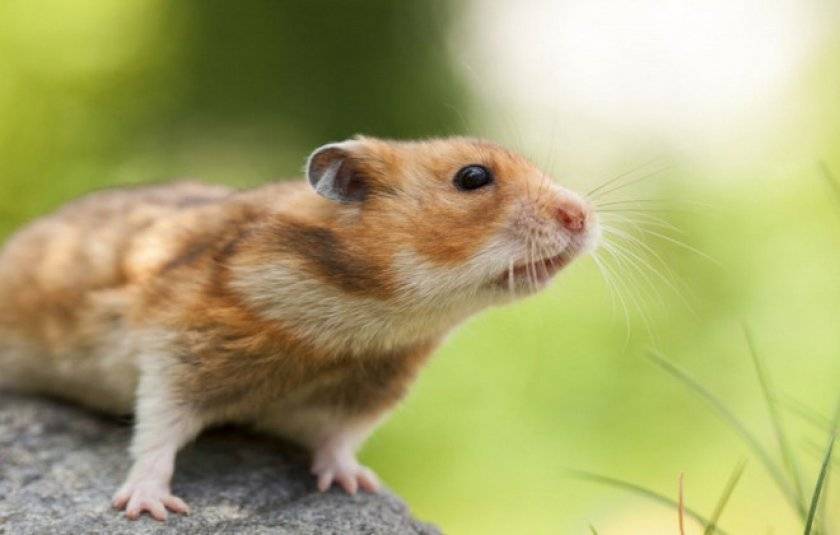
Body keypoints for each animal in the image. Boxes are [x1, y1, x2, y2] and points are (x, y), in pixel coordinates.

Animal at [0, 136, 600, 520]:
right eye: (472, 177)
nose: (583, 217)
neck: (368, 318)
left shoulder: (368, 390)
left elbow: (339, 440)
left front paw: (356, 486)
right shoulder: (178, 351)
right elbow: (157, 430)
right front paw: (148, 510)